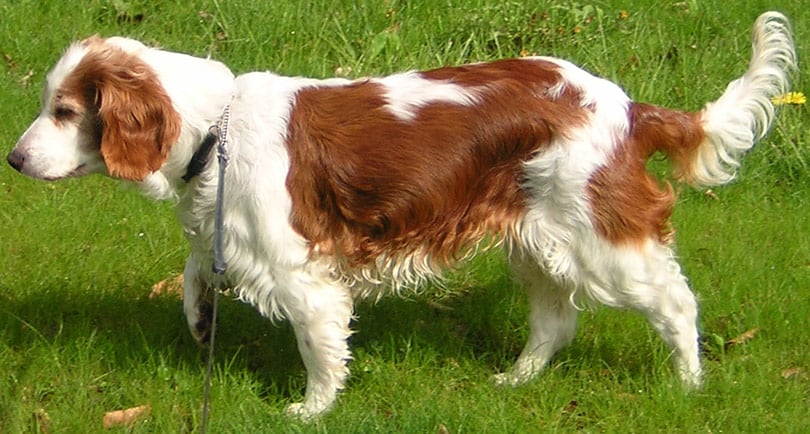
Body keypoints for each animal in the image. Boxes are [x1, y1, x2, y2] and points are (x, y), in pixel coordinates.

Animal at [6, 12, 792, 418]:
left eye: (65, 111)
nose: (13, 159)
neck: (216, 126)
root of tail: (629, 106)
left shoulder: (303, 276)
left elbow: (320, 351)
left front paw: (311, 411)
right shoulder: (230, 230)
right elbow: (197, 267)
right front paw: (200, 319)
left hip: (601, 239)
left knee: (676, 304)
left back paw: (688, 386)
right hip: (535, 239)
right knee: (555, 321)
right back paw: (516, 381)